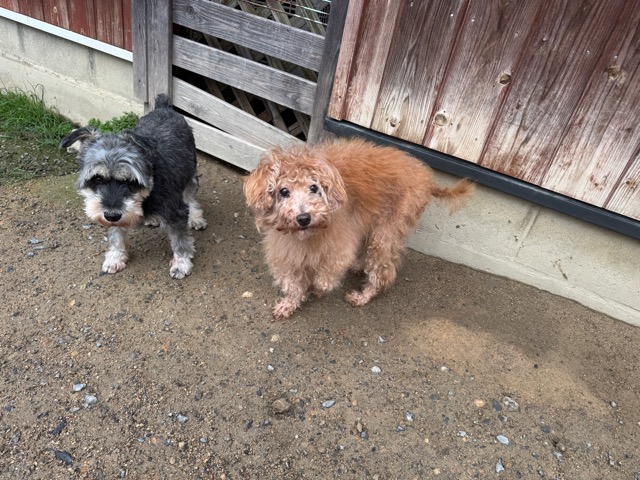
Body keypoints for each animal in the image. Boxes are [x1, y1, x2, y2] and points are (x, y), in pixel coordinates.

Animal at [60, 94, 207, 279]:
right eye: (97, 178)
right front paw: (116, 257)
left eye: (130, 181)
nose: (112, 215)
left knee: (190, 197)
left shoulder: (175, 212)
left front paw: (181, 264)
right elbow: (116, 235)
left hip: (189, 172)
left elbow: (180, 240)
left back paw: (195, 217)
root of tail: (163, 107)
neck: (153, 179)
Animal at [244, 138, 474, 320]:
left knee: (383, 273)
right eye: (284, 191)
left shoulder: (339, 247)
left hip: (386, 232)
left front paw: (317, 289)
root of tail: (425, 177)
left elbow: (325, 278)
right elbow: (292, 282)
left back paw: (363, 296)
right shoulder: (286, 252)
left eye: (314, 188)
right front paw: (290, 303)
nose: (303, 218)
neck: (308, 236)